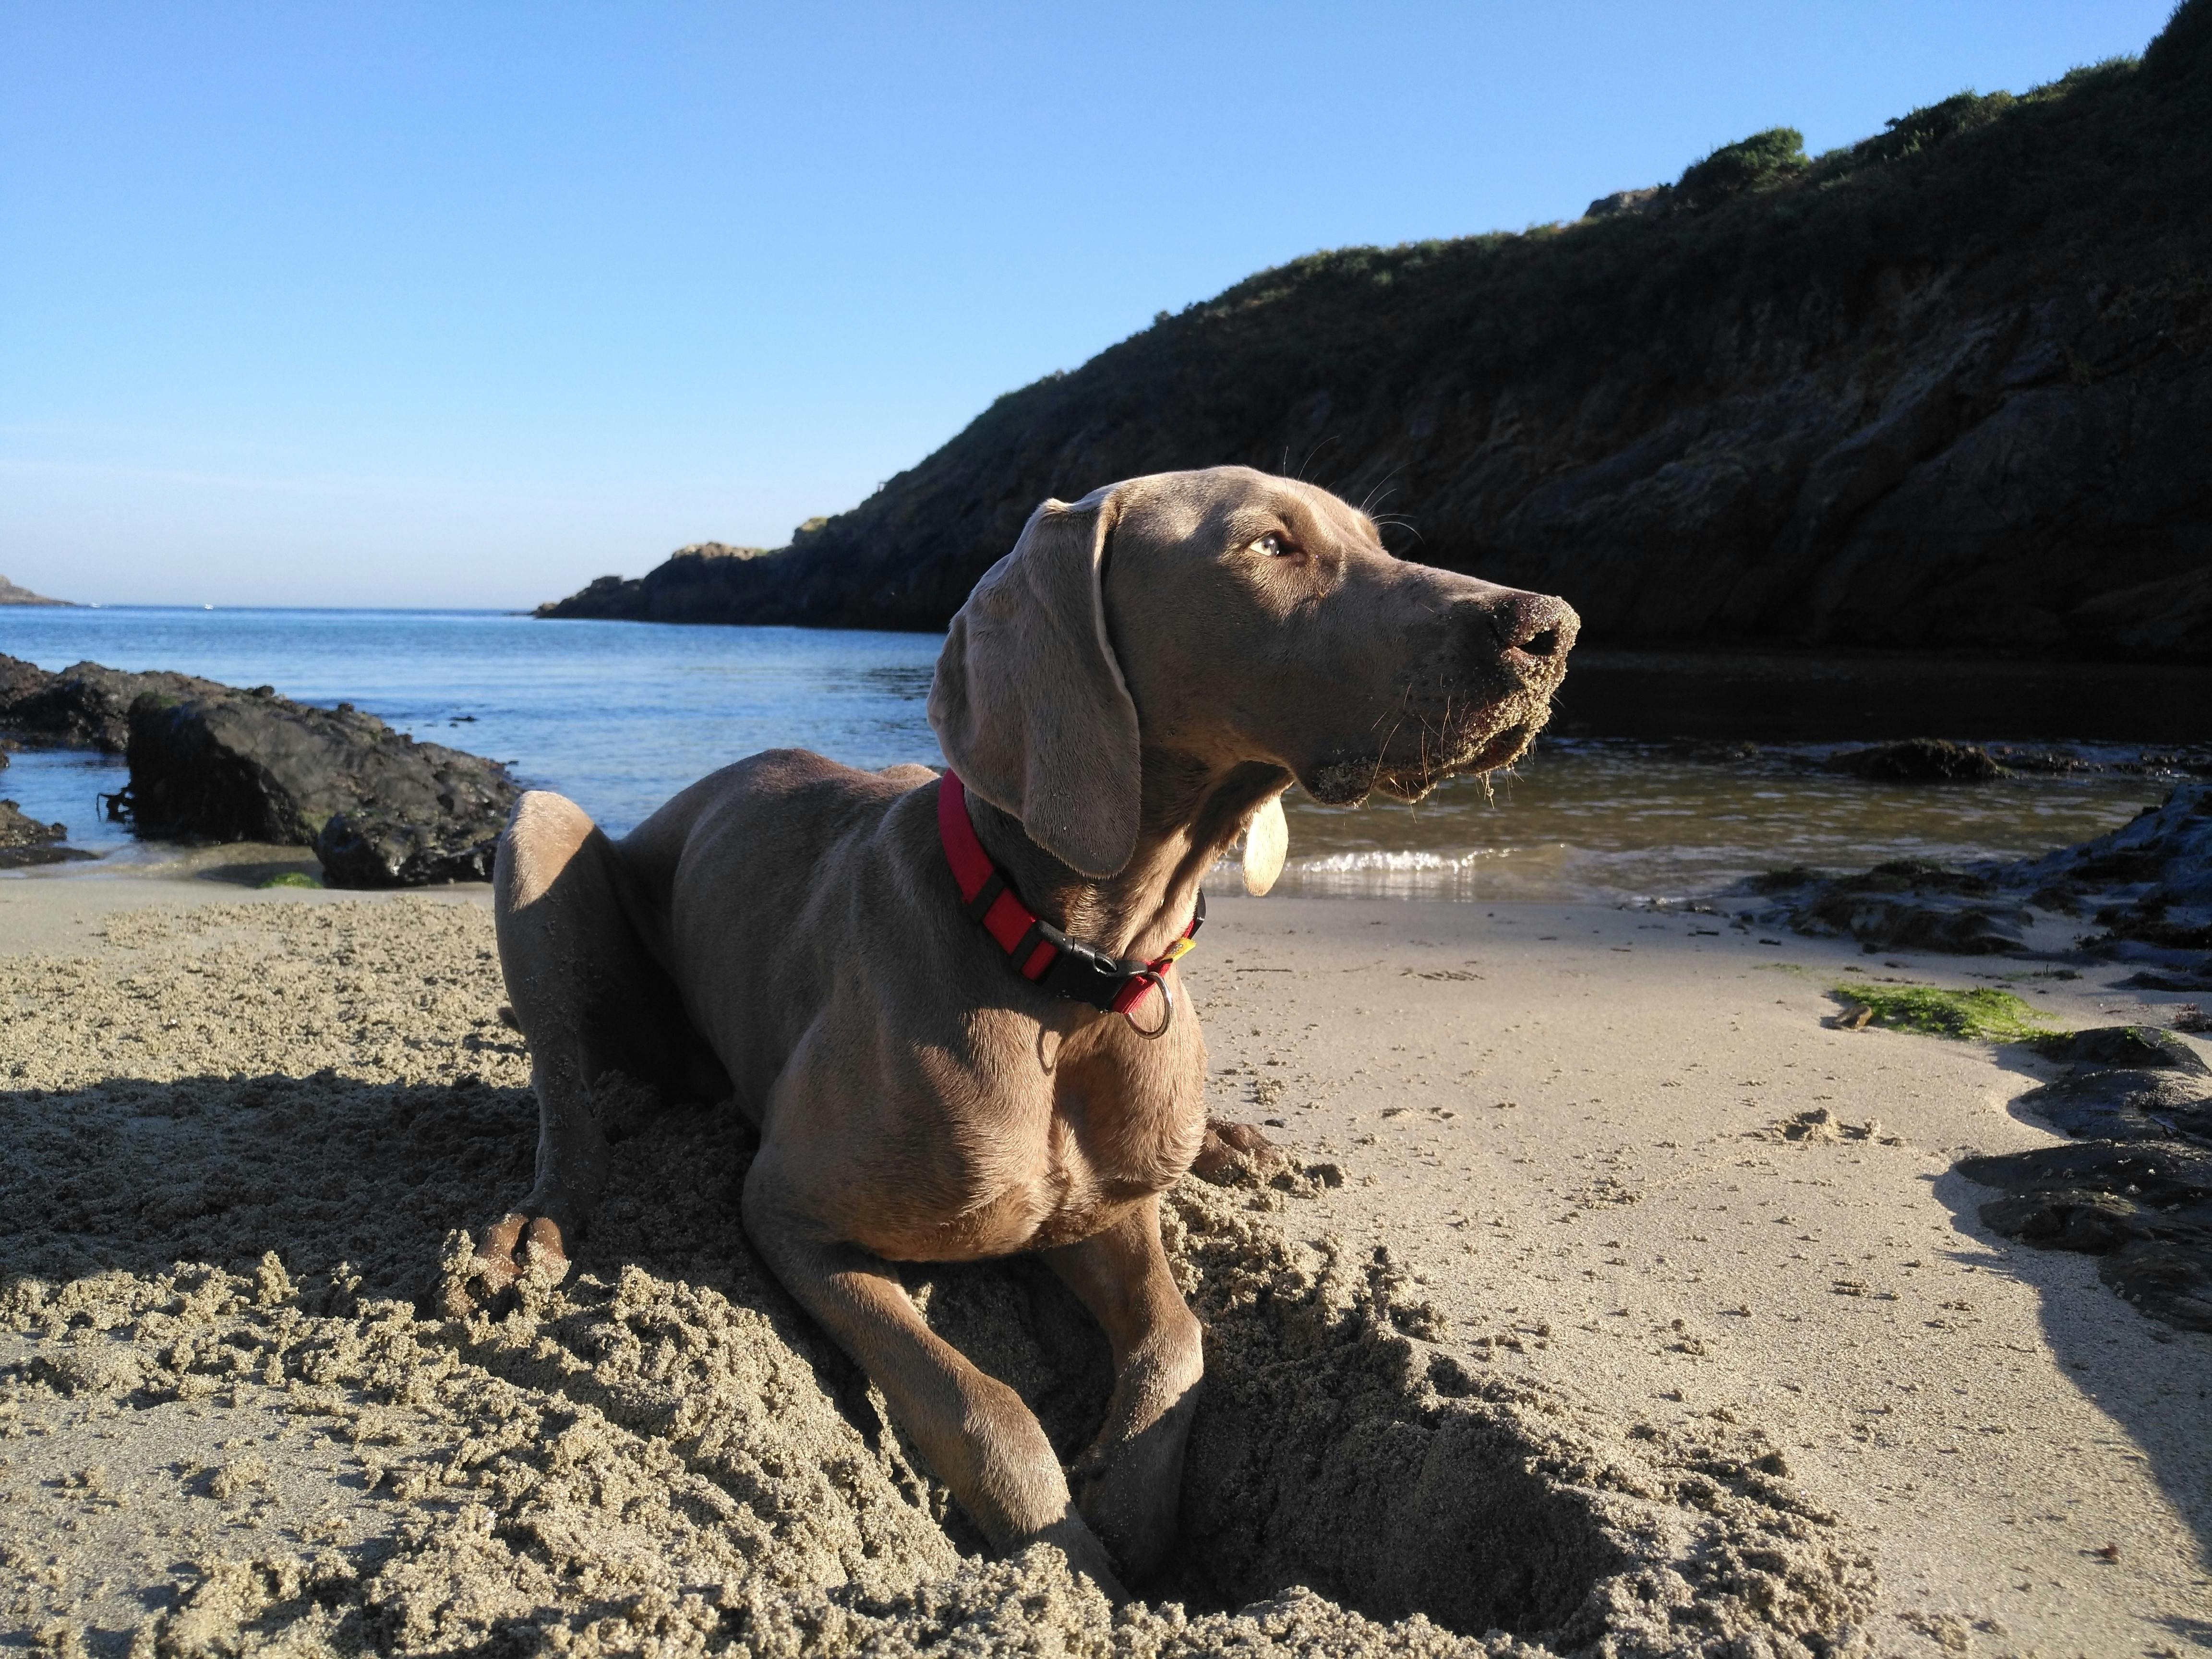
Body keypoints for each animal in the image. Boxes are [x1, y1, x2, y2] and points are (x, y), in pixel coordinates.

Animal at [462, 469, 1575, 1601]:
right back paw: (527, 1237)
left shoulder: (1099, 1207)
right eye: (1270, 545)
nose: (1551, 627)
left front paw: (1127, 1506)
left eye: (1377, 541)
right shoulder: (789, 1213)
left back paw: (1233, 1146)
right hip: (541, 830)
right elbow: (980, 1402)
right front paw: (1069, 1557)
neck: (1073, 976)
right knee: (566, 1099)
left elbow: (1179, 1336)